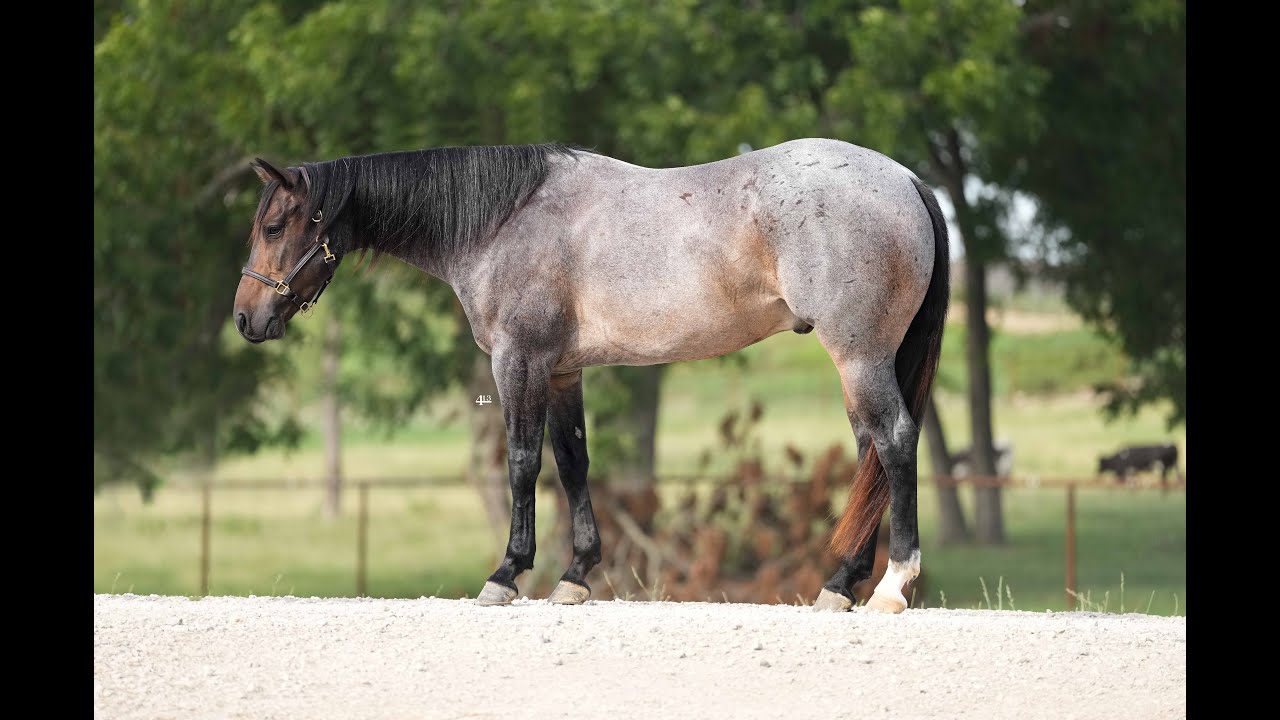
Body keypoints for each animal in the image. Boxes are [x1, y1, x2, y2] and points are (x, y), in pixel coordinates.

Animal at [232, 139, 949, 614]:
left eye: (275, 225)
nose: (245, 318)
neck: (505, 220)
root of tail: (907, 180)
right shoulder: (561, 372)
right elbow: (573, 464)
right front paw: (574, 577)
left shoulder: (518, 361)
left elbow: (523, 462)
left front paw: (506, 574)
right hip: (861, 362)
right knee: (870, 453)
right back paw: (840, 585)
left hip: (858, 354)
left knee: (893, 442)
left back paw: (891, 586)